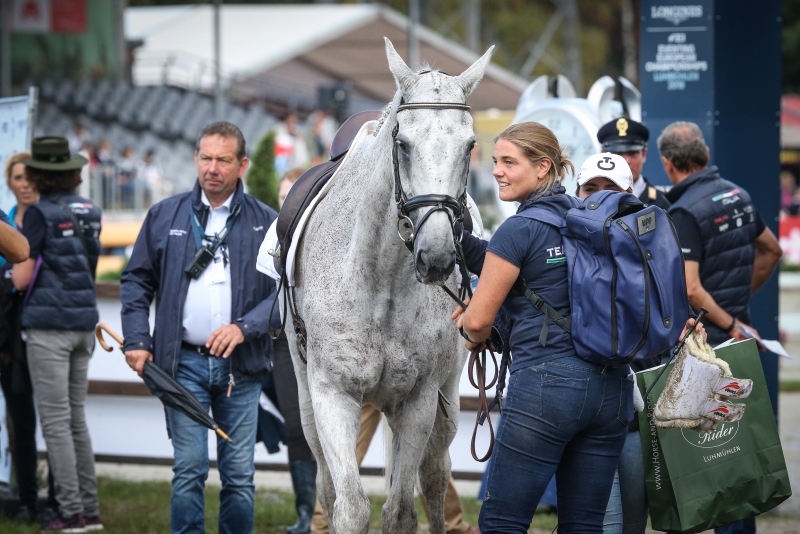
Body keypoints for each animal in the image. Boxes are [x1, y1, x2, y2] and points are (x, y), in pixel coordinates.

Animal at [284, 38, 490, 534]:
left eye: (470, 145)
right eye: (403, 143)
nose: (437, 256)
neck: (380, 285)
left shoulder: (417, 402)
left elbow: (400, 511)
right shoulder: (331, 394)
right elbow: (349, 505)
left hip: (446, 396)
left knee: (434, 476)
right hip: (307, 398)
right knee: (326, 484)